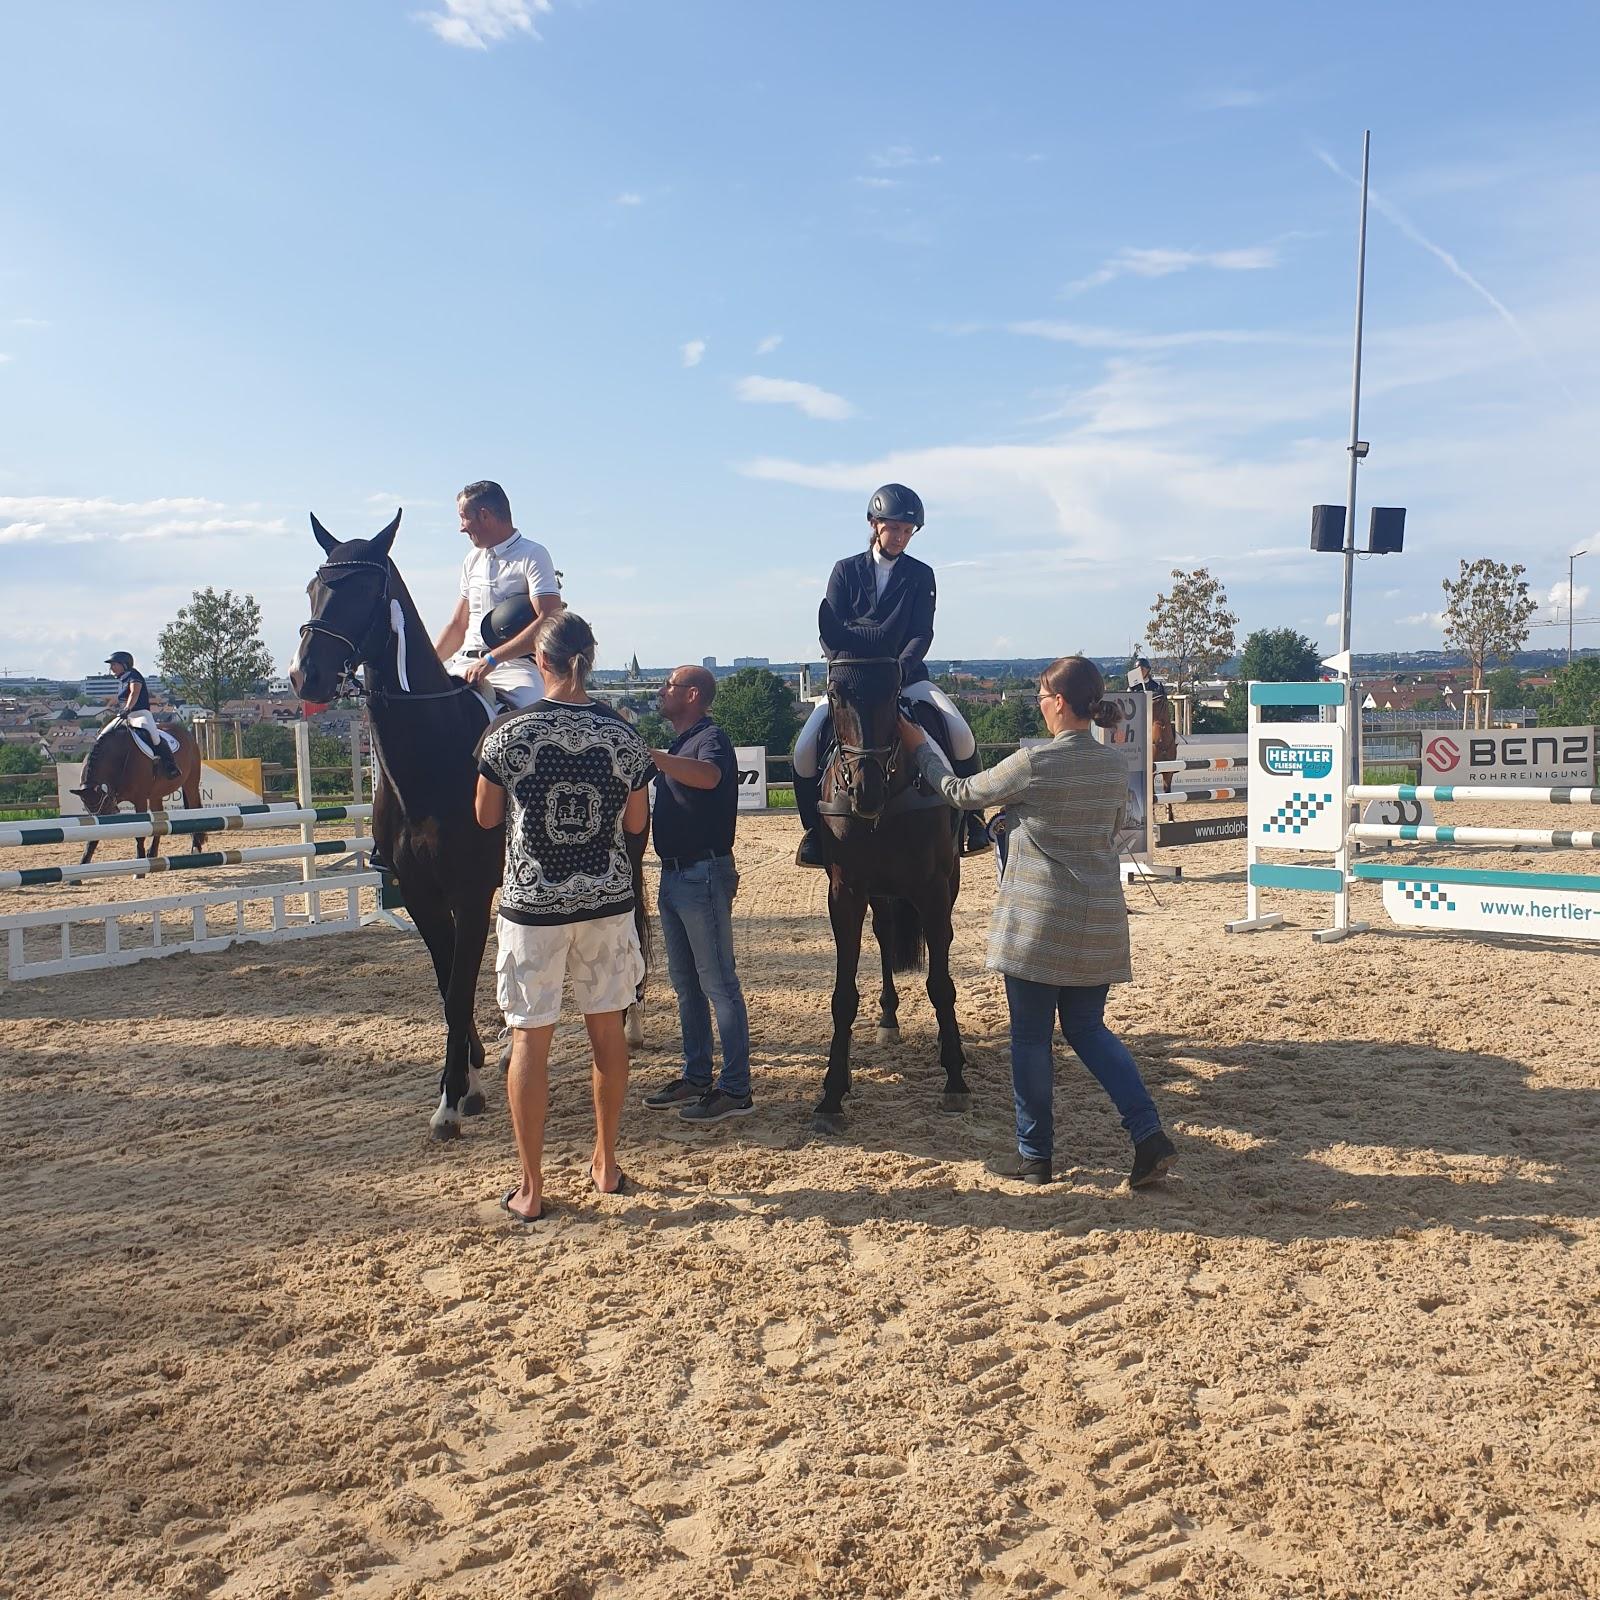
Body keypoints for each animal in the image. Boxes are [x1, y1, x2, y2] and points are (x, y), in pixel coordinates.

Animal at [72, 720, 208, 864]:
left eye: (105, 805)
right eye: (88, 809)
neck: (118, 757)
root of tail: (188, 735)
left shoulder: (140, 800)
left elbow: (140, 834)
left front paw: (140, 858)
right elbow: (92, 837)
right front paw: (84, 862)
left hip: (190, 784)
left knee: (194, 810)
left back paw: (195, 847)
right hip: (156, 794)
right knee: (160, 818)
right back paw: (152, 852)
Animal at [291, 508, 646, 1139]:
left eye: (363, 590)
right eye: (314, 586)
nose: (305, 676)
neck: (431, 757)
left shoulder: (469, 892)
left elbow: (458, 989)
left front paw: (452, 1099)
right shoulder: (420, 893)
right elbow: (445, 983)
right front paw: (474, 1071)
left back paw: (628, 1021)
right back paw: (508, 1046)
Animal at [806, 652, 966, 1139]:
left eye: (894, 691)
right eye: (834, 693)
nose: (865, 791)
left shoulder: (933, 889)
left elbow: (941, 984)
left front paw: (955, 1078)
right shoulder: (845, 892)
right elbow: (843, 995)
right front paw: (831, 1095)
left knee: (939, 945)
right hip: (879, 895)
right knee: (884, 933)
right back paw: (888, 1018)